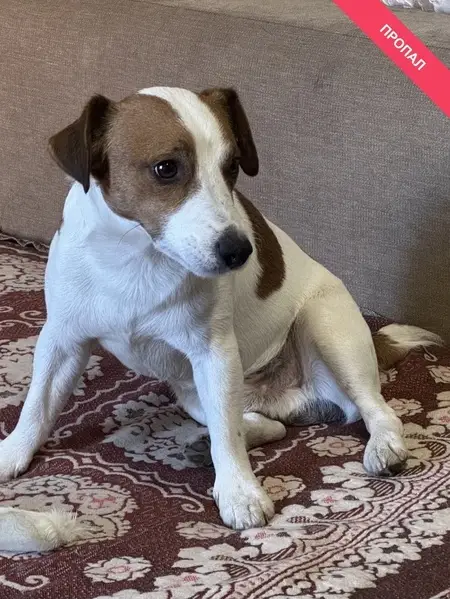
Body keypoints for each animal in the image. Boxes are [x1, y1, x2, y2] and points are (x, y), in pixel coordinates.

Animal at [0, 86, 443, 539]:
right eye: (166, 168)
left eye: (232, 167)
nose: (240, 251)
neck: (138, 255)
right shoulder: (62, 340)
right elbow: (38, 406)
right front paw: (13, 452)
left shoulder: (214, 354)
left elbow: (228, 438)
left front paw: (239, 492)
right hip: (192, 390)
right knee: (260, 425)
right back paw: (214, 441)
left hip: (326, 329)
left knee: (374, 410)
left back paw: (384, 446)